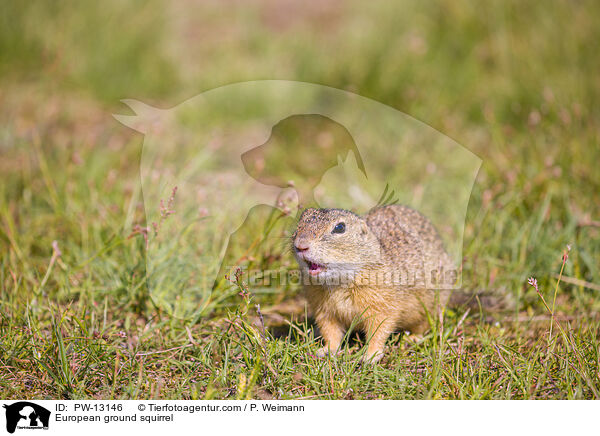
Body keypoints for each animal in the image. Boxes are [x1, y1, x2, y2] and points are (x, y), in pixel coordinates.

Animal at [292, 204, 458, 362]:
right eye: (302, 217)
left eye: (340, 227)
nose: (300, 245)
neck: (338, 282)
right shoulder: (323, 309)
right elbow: (330, 331)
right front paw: (326, 350)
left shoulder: (381, 304)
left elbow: (378, 329)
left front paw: (370, 356)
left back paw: (412, 338)